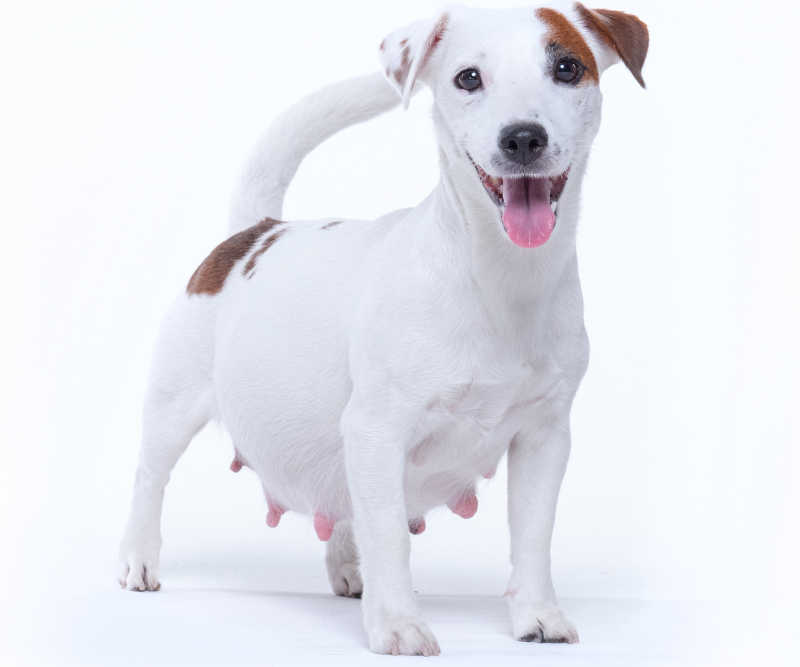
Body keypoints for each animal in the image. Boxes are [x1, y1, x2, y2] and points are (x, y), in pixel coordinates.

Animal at [119, 1, 648, 656]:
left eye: (567, 67)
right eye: (468, 78)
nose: (523, 136)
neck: (499, 277)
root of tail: (255, 230)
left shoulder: (544, 438)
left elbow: (532, 535)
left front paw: (537, 614)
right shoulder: (378, 429)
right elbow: (390, 535)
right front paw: (397, 622)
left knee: (342, 505)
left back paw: (350, 569)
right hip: (173, 407)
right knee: (150, 476)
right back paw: (139, 558)